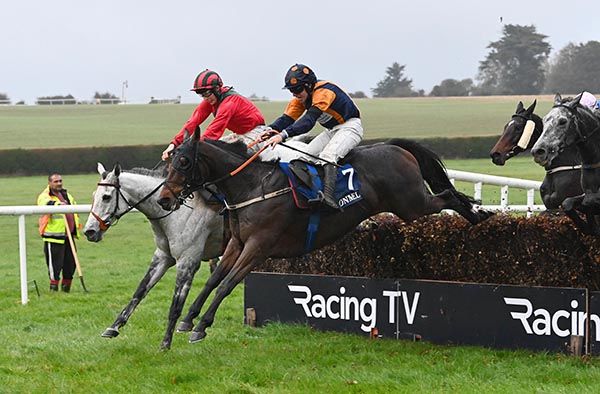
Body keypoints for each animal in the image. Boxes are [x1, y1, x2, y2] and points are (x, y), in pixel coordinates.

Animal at [83, 162, 224, 350]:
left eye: (106, 197)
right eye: (93, 196)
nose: (89, 231)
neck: (175, 212)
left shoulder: (187, 261)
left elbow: (176, 306)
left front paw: (166, 343)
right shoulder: (163, 257)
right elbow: (140, 291)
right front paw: (113, 327)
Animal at [155, 130, 492, 342]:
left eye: (183, 161)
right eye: (170, 161)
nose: (164, 199)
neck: (253, 187)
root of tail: (396, 147)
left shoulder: (259, 246)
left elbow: (226, 284)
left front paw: (201, 326)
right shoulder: (237, 243)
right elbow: (213, 280)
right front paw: (188, 319)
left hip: (411, 204)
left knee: (446, 195)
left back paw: (478, 214)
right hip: (409, 204)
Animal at [532, 93, 600, 232]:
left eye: (562, 121)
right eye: (544, 120)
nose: (538, 151)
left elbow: (589, 202)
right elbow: (567, 203)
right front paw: (588, 227)